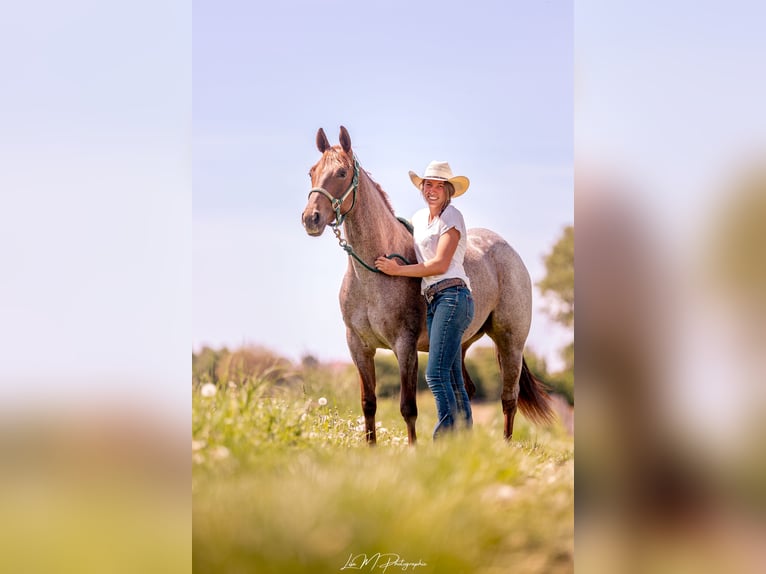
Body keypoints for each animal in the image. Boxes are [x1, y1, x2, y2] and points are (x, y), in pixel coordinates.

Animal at [301, 126, 554, 444]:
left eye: (342, 172)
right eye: (312, 171)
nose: (310, 218)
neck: (370, 277)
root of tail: (508, 249)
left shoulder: (404, 346)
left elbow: (408, 407)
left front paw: (412, 448)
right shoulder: (358, 346)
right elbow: (368, 403)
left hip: (511, 342)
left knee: (508, 399)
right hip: (458, 345)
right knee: (464, 393)